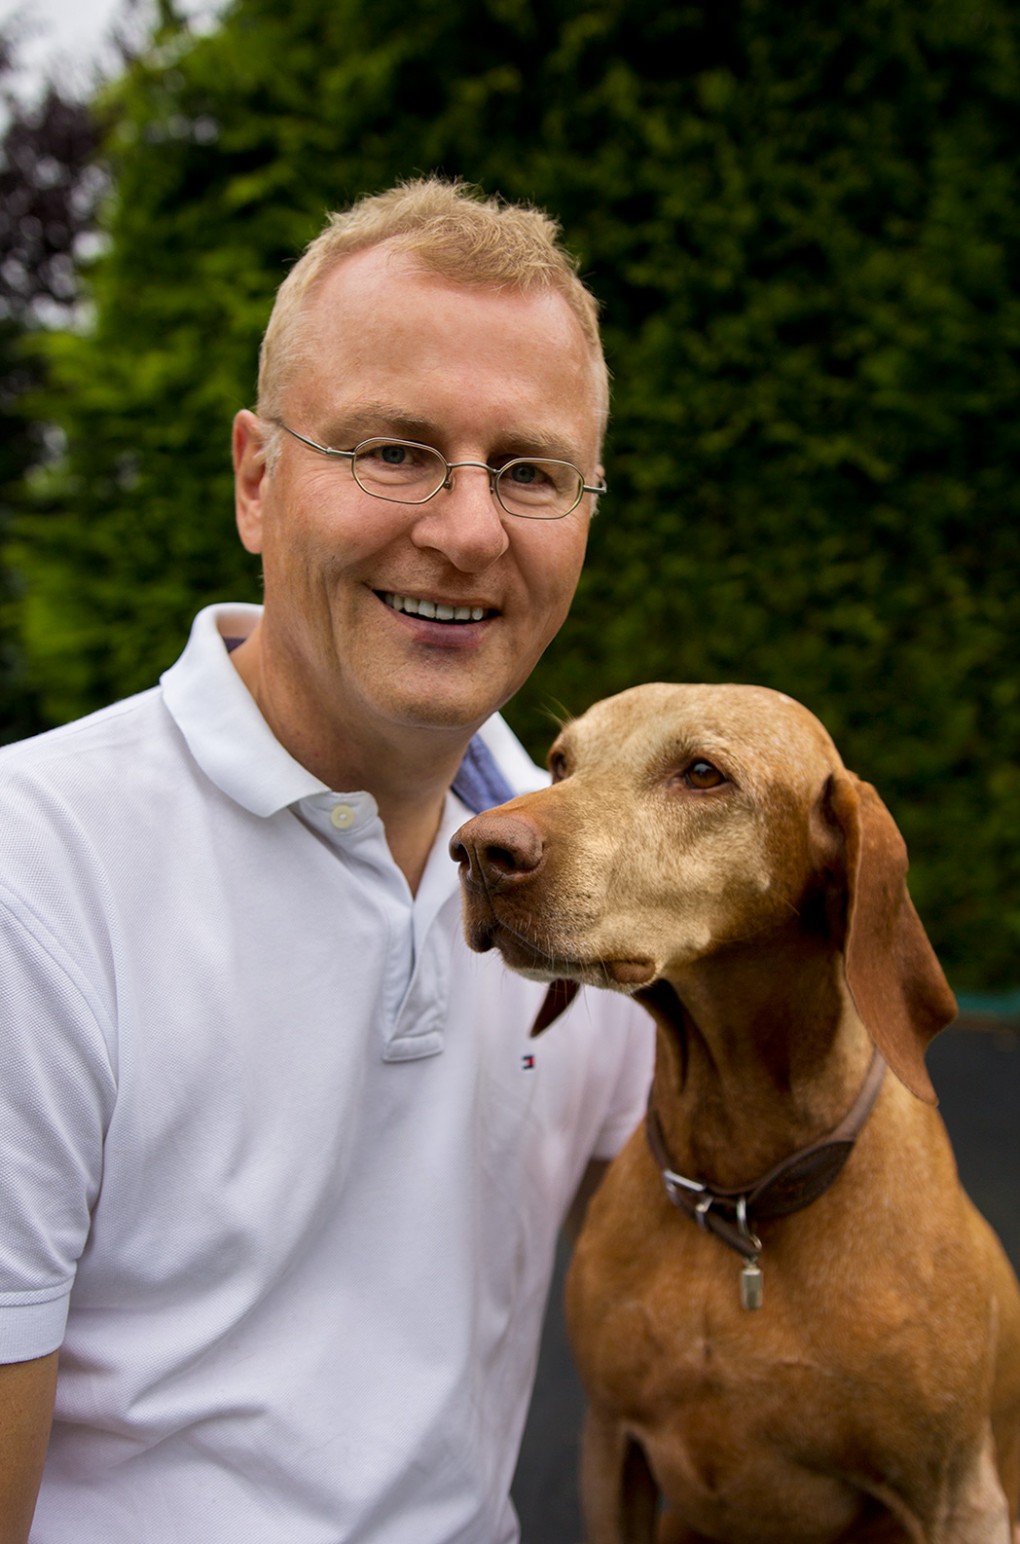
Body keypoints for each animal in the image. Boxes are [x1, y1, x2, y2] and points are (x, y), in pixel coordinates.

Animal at [453, 688, 1018, 1544]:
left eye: (701, 773)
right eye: (558, 762)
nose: (479, 849)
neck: (736, 1190)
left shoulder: (957, 1497)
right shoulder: (610, 1446)